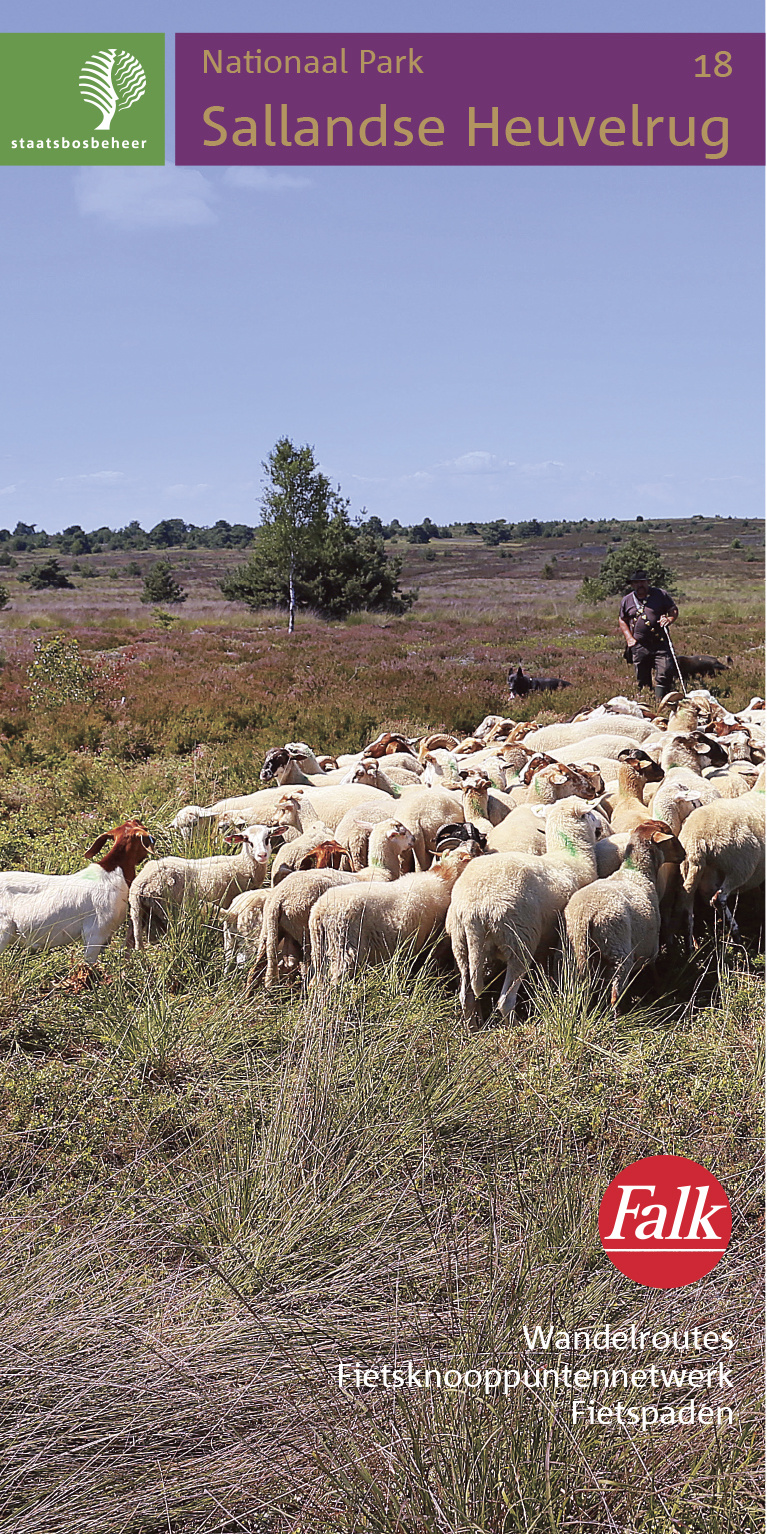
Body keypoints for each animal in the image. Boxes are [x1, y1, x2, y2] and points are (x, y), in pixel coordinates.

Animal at [128, 828, 282, 944]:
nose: (262, 855)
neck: (243, 864)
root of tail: (140, 882)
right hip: (166, 908)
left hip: (149, 912)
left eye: (267, 838)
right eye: (248, 841)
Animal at [308, 840, 475, 981]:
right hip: (343, 948)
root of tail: (319, 912)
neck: (443, 878)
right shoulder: (432, 940)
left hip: (319, 950)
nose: (470, 841)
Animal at [447, 797, 607, 1024]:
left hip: (460, 942)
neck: (571, 855)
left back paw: (472, 1027)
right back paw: (515, 1025)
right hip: (520, 940)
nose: (601, 828)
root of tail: (473, 911)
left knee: (466, 996)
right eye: (590, 813)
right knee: (505, 1001)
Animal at [564, 822, 684, 1012]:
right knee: (614, 992)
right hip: (617, 949)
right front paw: (659, 989)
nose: (684, 854)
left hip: (578, 951)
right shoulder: (651, 942)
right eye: (671, 837)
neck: (637, 872)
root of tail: (586, 915)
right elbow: (652, 968)